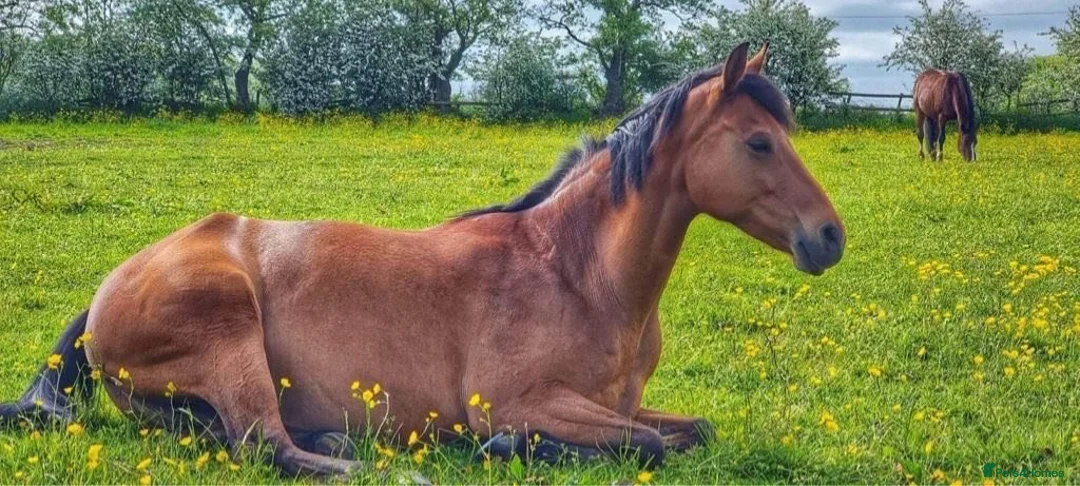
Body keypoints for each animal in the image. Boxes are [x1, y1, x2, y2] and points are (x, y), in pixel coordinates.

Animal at [0, 42, 844, 476]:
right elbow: (644, 446)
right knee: (264, 445)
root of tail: (110, 287)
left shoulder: (622, 403)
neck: (576, 274)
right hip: (229, 332)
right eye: (759, 142)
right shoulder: (518, 401)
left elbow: (693, 429)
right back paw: (381, 460)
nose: (830, 236)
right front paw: (508, 448)